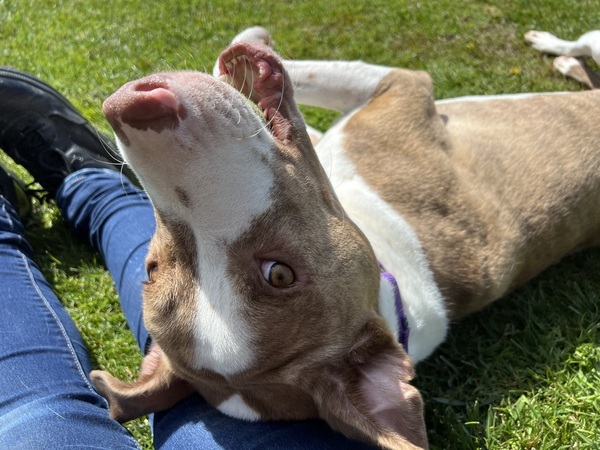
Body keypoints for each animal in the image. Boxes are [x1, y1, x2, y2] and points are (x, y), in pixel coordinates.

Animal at [89, 28, 600, 450]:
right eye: (153, 270)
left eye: (278, 274)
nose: (139, 110)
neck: (391, 289)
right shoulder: (401, 87)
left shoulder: (396, 90)